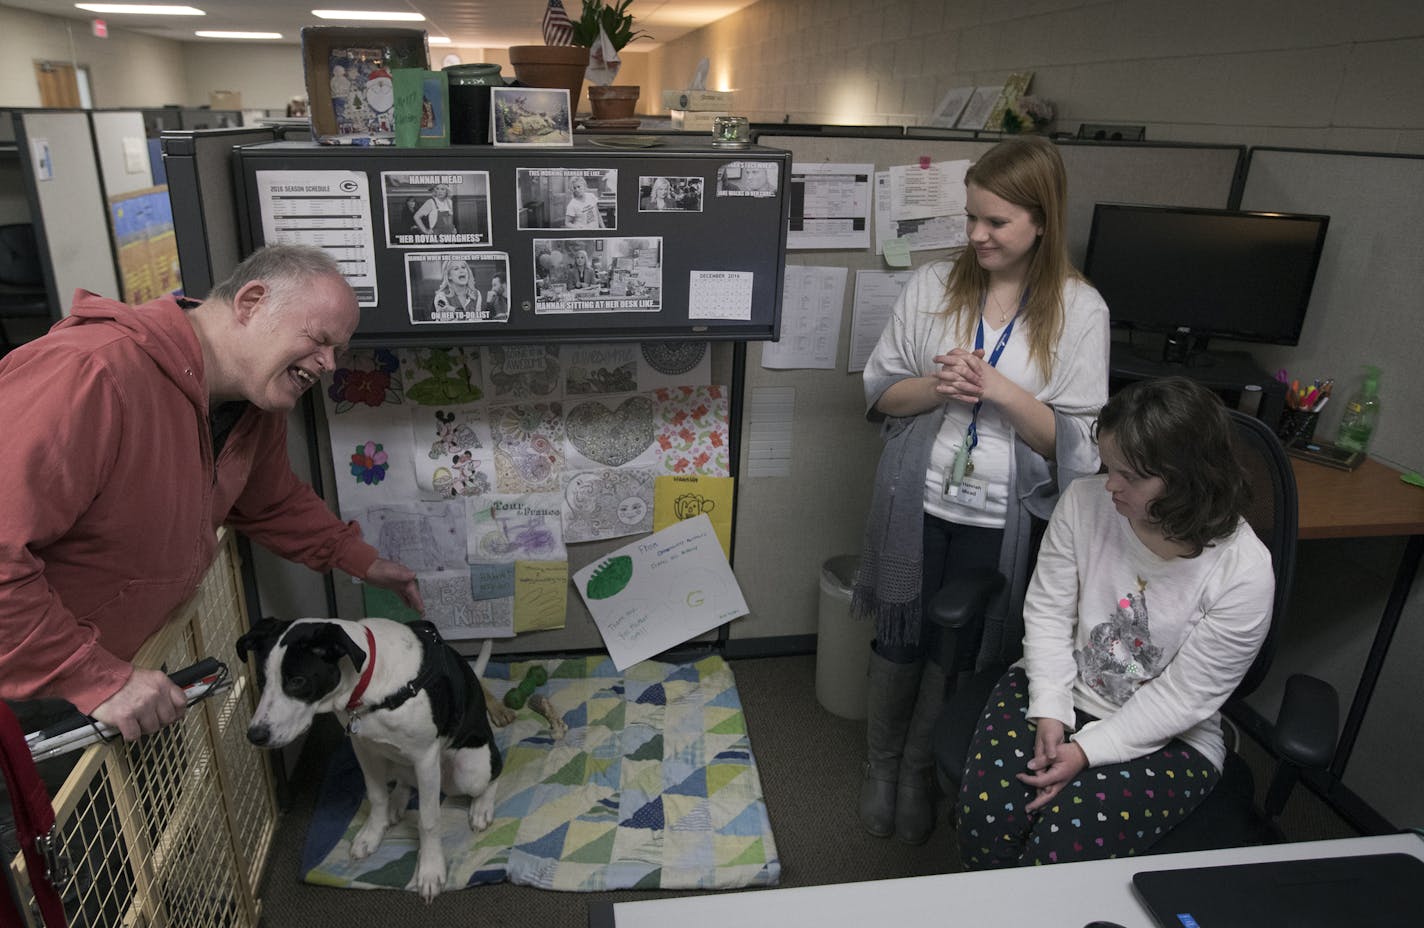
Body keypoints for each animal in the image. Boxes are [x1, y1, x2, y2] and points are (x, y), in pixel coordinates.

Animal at [233, 620, 501, 905]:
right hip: (395, 760)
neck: (372, 685)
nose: (255, 735)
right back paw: (397, 802)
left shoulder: (426, 757)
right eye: (261, 681)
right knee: (405, 780)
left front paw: (430, 870)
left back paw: (481, 808)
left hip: (469, 771)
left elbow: (428, 820)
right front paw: (373, 833)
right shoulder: (364, 748)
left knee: (494, 773)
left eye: (297, 681)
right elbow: (376, 796)